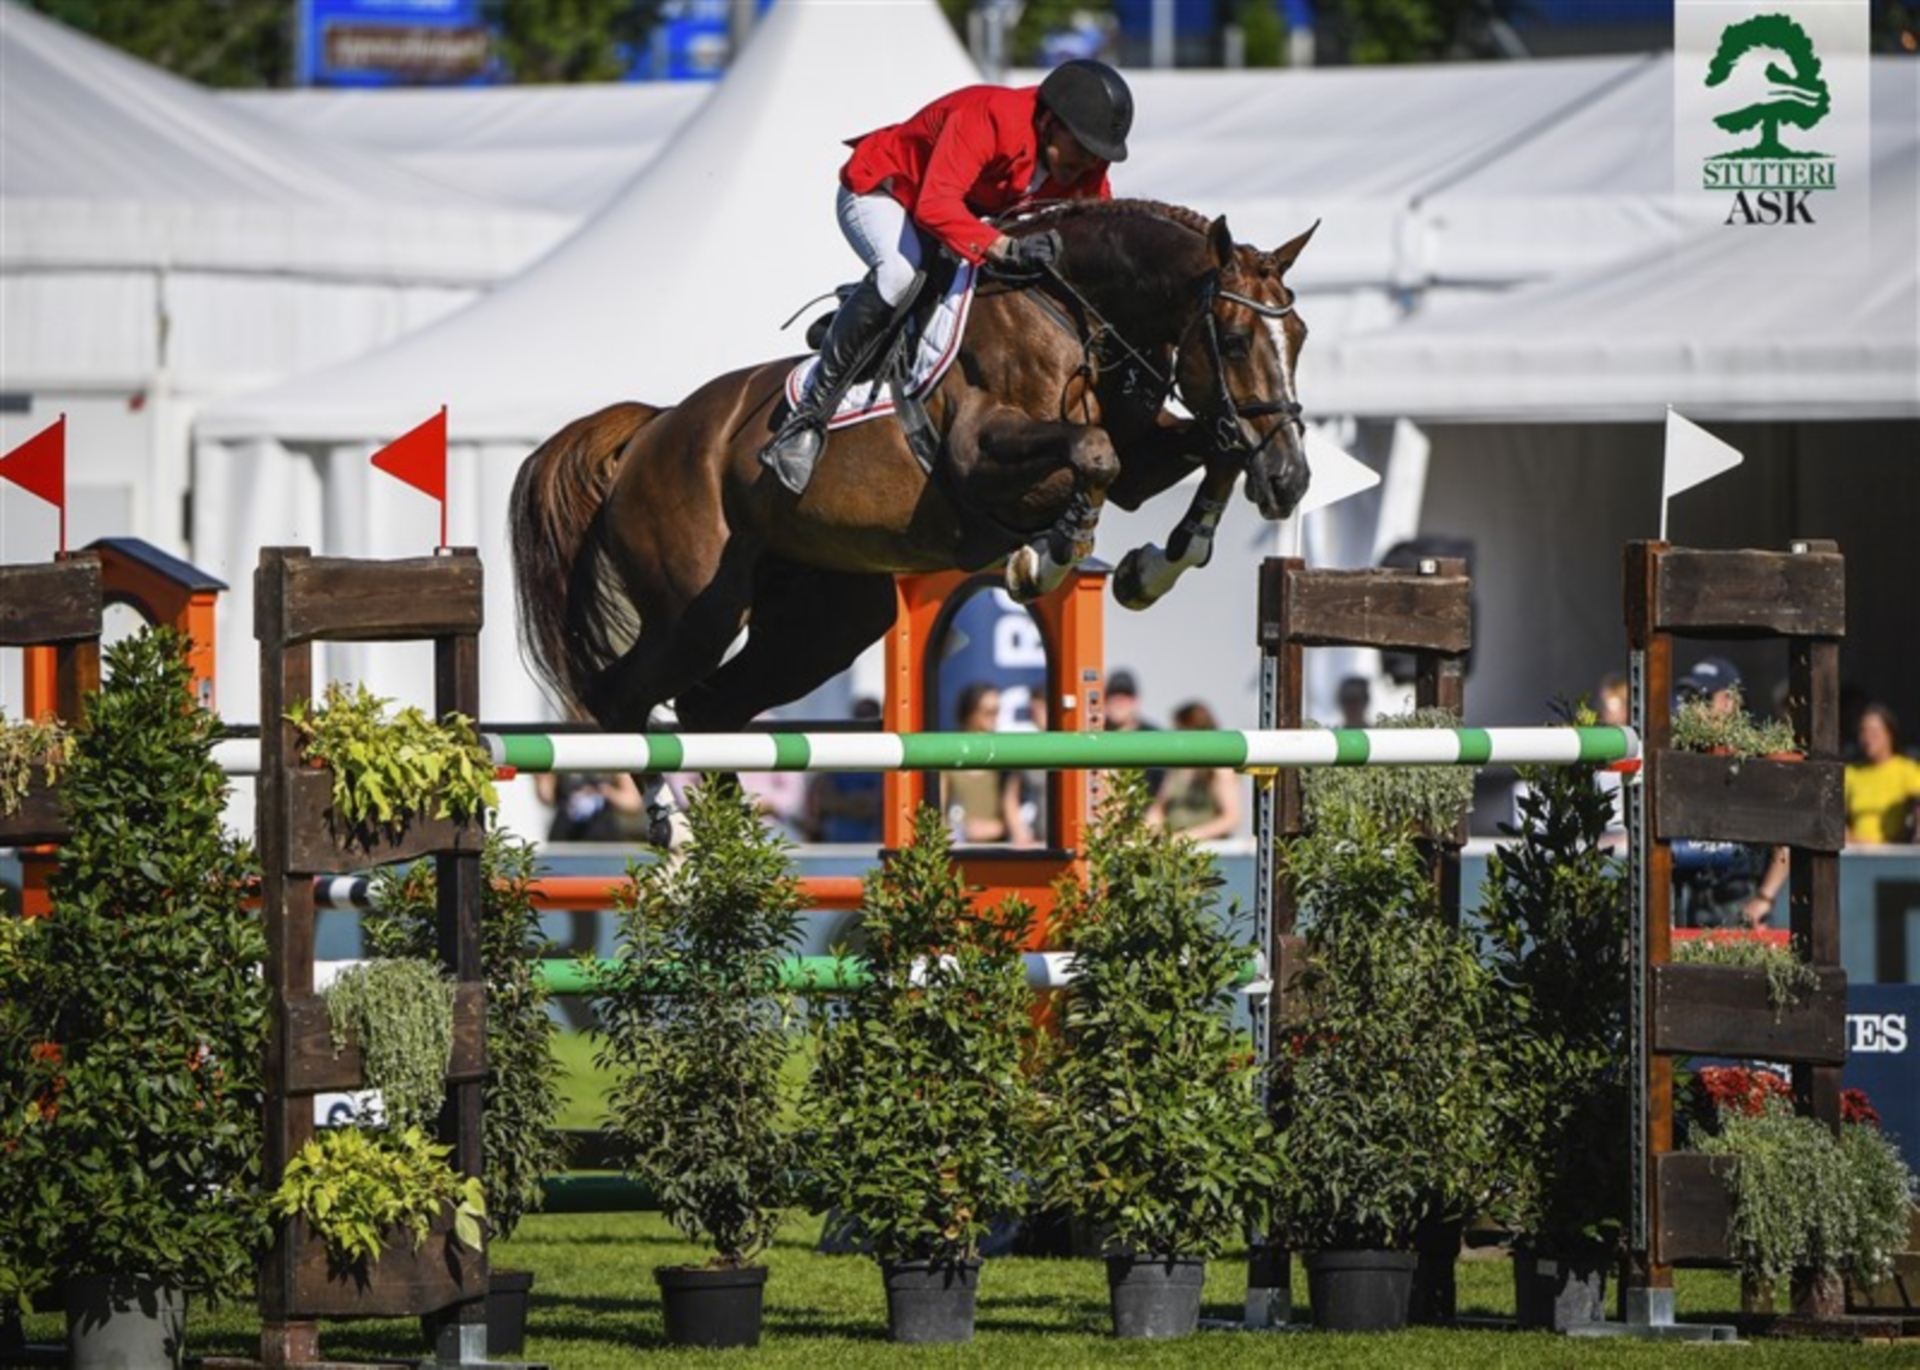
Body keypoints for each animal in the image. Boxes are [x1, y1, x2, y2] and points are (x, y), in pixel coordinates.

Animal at [514, 197, 1320, 828]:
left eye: (1303, 338)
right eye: (1237, 340)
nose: (1291, 481)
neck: (1074, 312)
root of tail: (653, 428)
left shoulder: (1146, 454)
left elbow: (1206, 452)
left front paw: (1152, 567)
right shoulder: (977, 453)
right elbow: (1095, 454)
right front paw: (1044, 559)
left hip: (824, 624)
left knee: (711, 710)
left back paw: (731, 848)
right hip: (698, 612)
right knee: (622, 700)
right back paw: (671, 837)